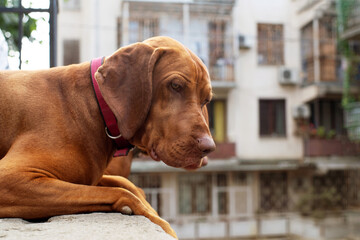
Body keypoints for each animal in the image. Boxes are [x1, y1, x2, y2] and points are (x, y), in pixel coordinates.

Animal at [0, 36, 214, 238]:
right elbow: (125, 193)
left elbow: (128, 185)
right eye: (175, 85)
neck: (93, 106)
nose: (208, 148)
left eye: (206, 100)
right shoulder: (10, 177)